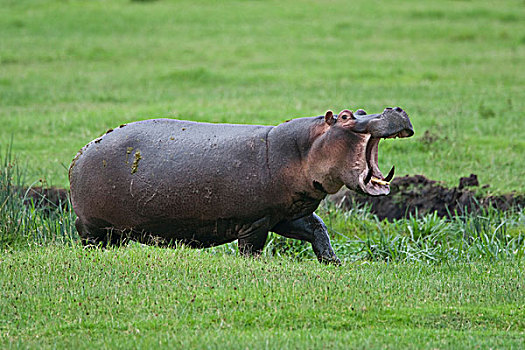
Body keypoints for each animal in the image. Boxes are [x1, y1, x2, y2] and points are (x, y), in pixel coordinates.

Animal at [68, 106, 414, 262]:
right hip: (91, 228)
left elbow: (318, 229)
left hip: (117, 233)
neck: (303, 149)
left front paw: (334, 263)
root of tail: (80, 153)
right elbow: (252, 249)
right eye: (345, 116)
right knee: (90, 241)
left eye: (361, 110)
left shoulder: (286, 213)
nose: (395, 109)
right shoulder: (256, 221)